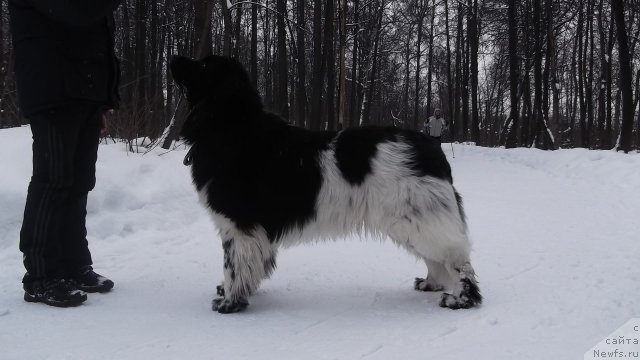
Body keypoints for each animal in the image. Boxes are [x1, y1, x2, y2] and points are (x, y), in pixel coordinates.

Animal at [170, 54, 480, 314]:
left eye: (203, 65)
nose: (174, 57)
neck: (231, 126)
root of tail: (431, 148)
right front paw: (231, 292)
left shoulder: (239, 226)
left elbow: (233, 265)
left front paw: (230, 302)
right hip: (414, 222)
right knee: (438, 260)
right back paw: (431, 284)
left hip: (421, 220)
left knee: (457, 260)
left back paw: (461, 298)